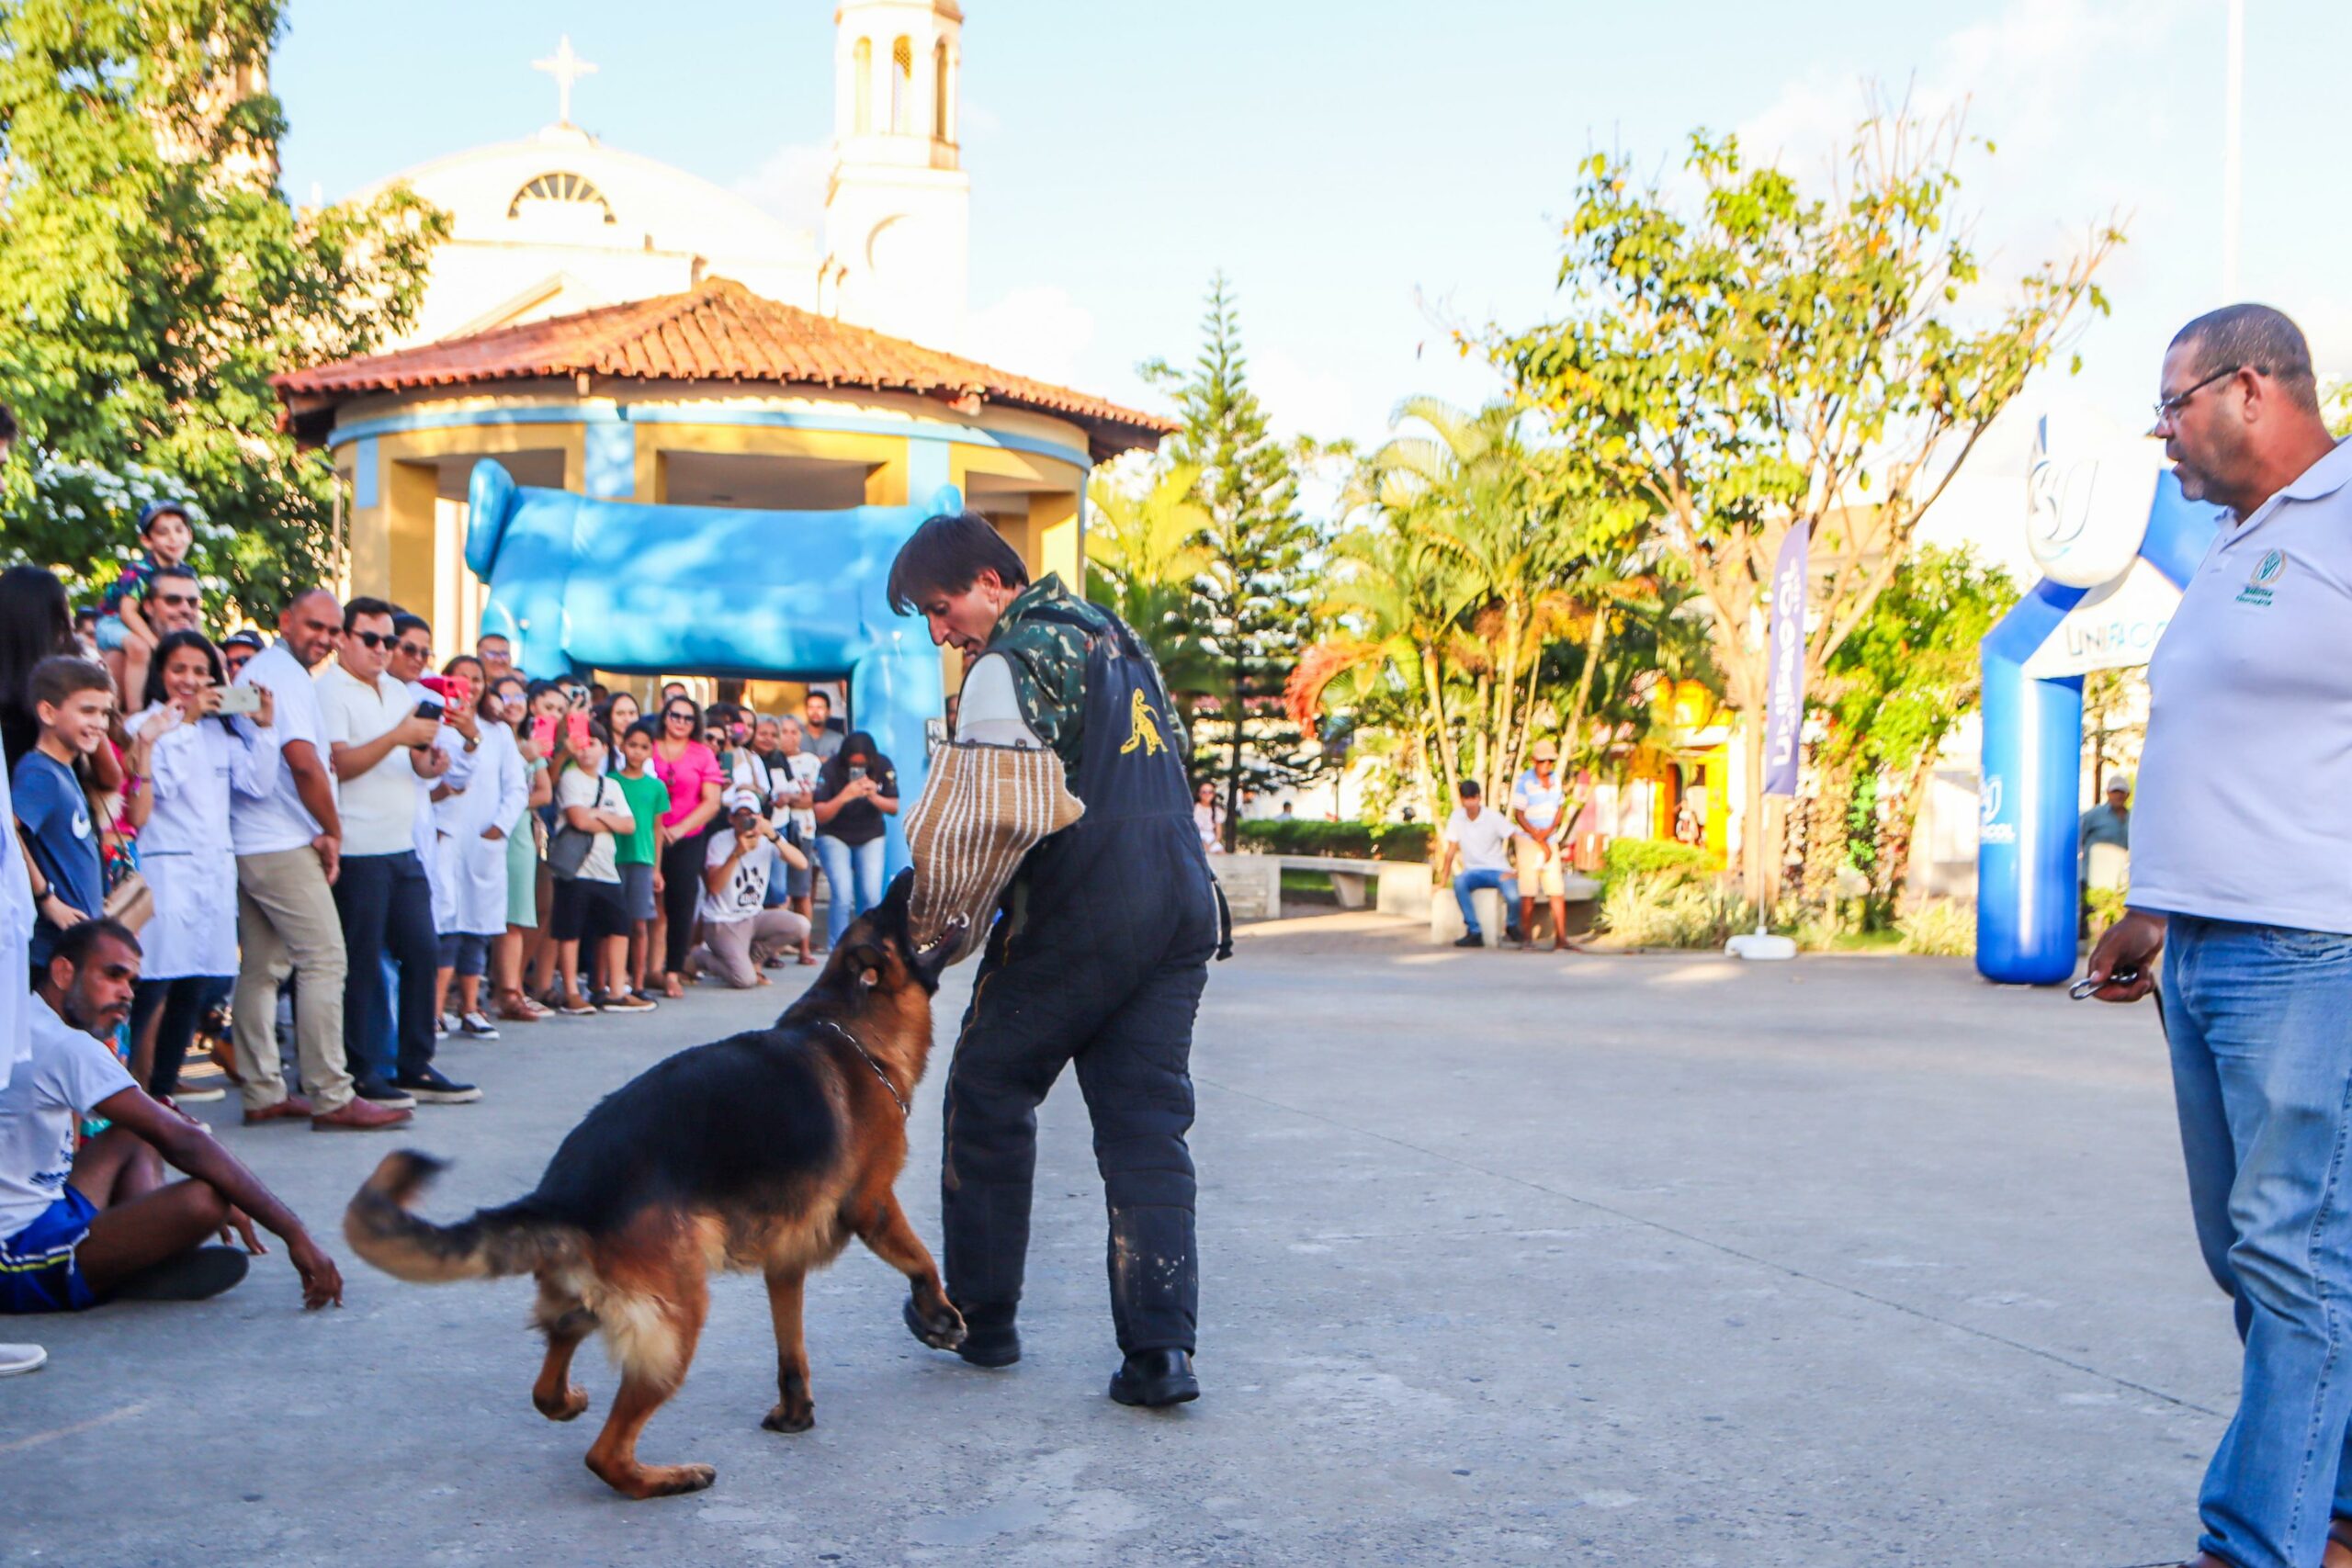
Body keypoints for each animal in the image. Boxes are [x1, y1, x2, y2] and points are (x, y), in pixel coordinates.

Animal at [341, 869, 964, 1495]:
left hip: (588, 1304)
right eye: (891, 913)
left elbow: (791, 1349)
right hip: (679, 1316)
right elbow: (921, 1256)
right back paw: (668, 1477)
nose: (907, 872)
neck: (851, 1022)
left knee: (549, 1383)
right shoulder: (873, 1203)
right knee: (606, 1454)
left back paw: (570, 1401)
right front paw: (939, 1313)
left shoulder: (785, 1265)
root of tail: (563, 1194)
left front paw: (795, 1412)